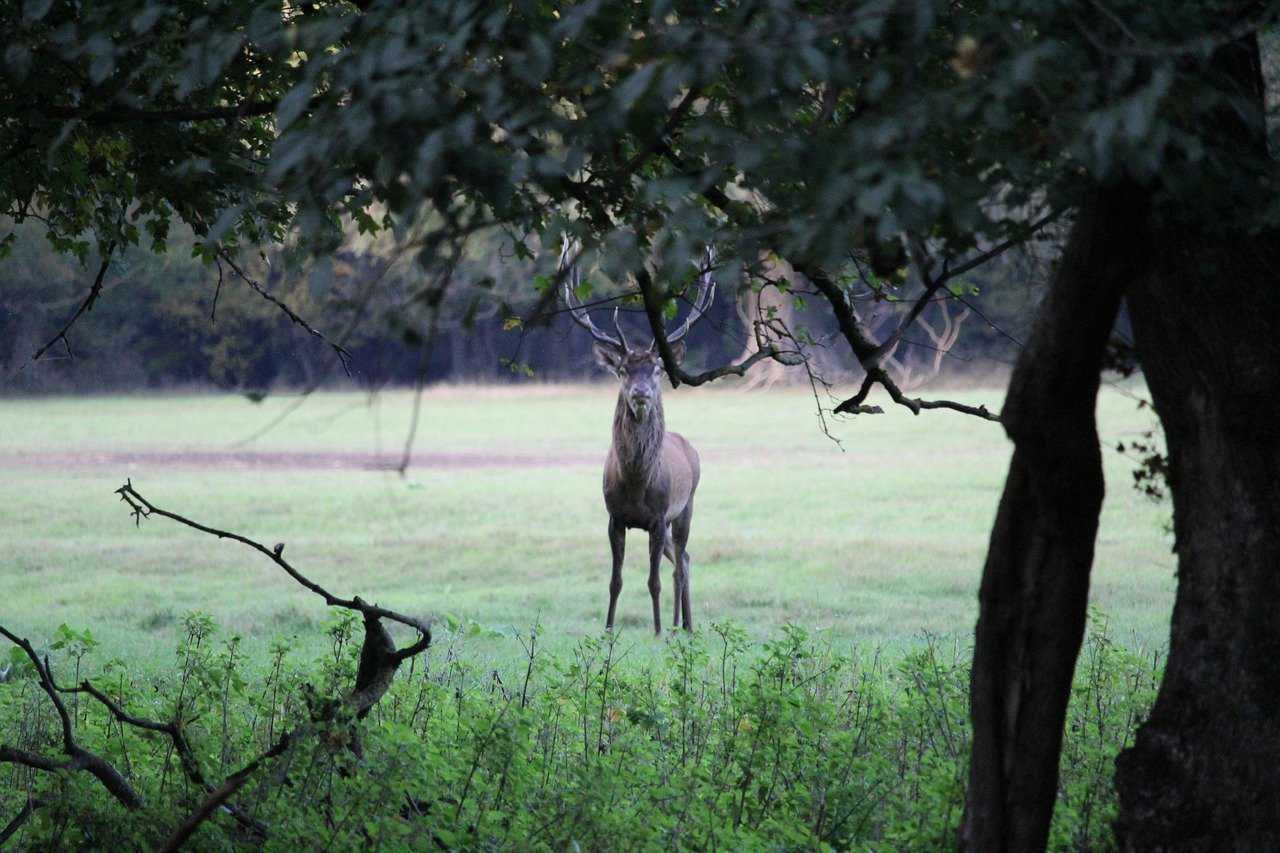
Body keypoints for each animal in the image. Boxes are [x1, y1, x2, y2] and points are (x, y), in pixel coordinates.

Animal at [563, 239, 721, 630]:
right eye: (622, 369)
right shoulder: (614, 518)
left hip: (685, 508)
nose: (641, 393)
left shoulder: (657, 517)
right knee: (684, 559)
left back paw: (683, 627)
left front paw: (658, 631)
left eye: (658, 369)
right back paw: (683, 625)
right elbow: (615, 581)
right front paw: (607, 630)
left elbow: (653, 582)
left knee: (680, 562)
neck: (635, 483)